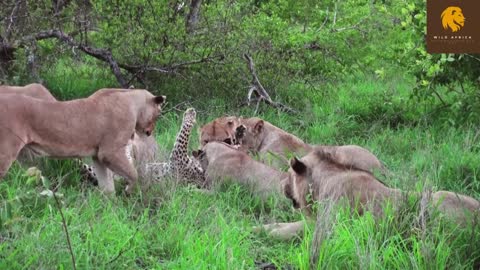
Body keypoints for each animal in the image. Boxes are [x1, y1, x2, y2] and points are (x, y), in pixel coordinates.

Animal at [0, 87, 165, 193]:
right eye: (159, 113)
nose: (150, 132)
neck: (132, 100)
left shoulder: (98, 156)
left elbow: (107, 186)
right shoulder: (110, 153)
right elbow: (133, 174)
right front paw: (129, 191)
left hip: (24, 157)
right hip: (5, 153)